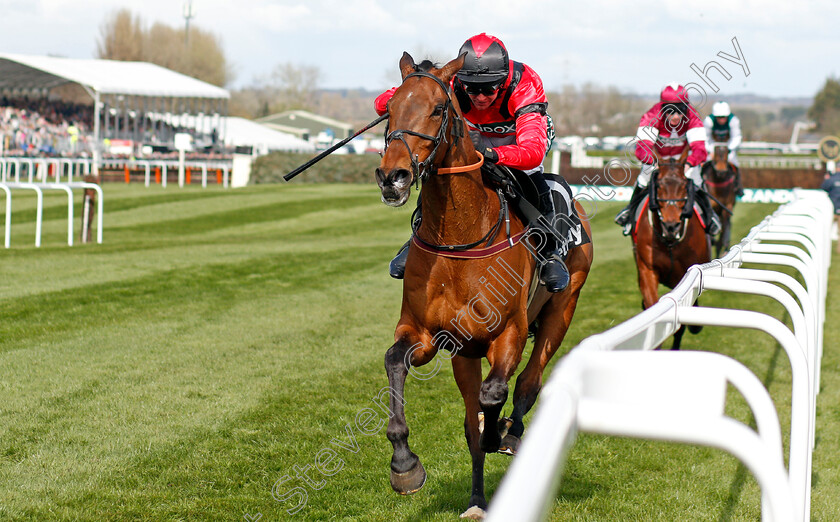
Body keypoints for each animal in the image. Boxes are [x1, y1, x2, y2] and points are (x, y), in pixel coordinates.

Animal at [370, 52, 592, 516]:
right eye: (390, 109)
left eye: (438, 109)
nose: (392, 177)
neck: (458, 236)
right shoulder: (425, 333)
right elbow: (395, 361)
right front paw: (404, 466)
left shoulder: (509, 331)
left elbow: (496, 394)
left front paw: (499, 431)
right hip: (464, 354)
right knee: (473, 424)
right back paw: (477, 498)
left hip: (561, 310)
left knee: (528, 381)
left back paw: (511, 433)